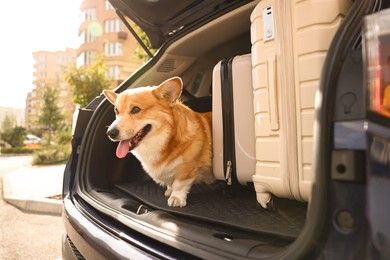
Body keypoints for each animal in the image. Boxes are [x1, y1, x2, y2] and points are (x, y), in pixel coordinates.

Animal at [103, 76, 213, 207]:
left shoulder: (187, 168)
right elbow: (171, 183)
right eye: (116, 111)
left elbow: (179, 184)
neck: (164, 139)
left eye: (135, 109)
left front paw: (176, 197)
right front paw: (170, 191)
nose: (110, 133)